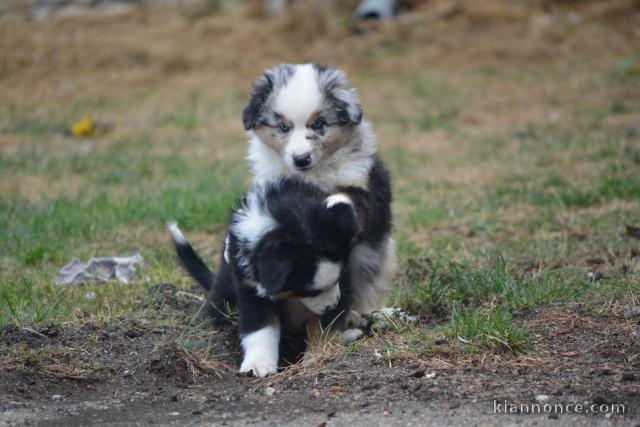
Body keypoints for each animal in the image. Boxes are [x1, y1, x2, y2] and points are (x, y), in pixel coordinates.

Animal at [170, 179, 358, 376]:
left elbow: (324, 326)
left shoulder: (344, 278)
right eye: (309, 292)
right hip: (223, 298)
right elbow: (260, 327)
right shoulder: (250, 288)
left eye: (337, 280)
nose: (333, 304)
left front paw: (319, 355)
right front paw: (258, 364)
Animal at [244, 64, 398, 320]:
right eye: (283, 128)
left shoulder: (362, 184)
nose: (301, 159)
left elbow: (350, 201)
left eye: (318, 124)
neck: (312, 175)